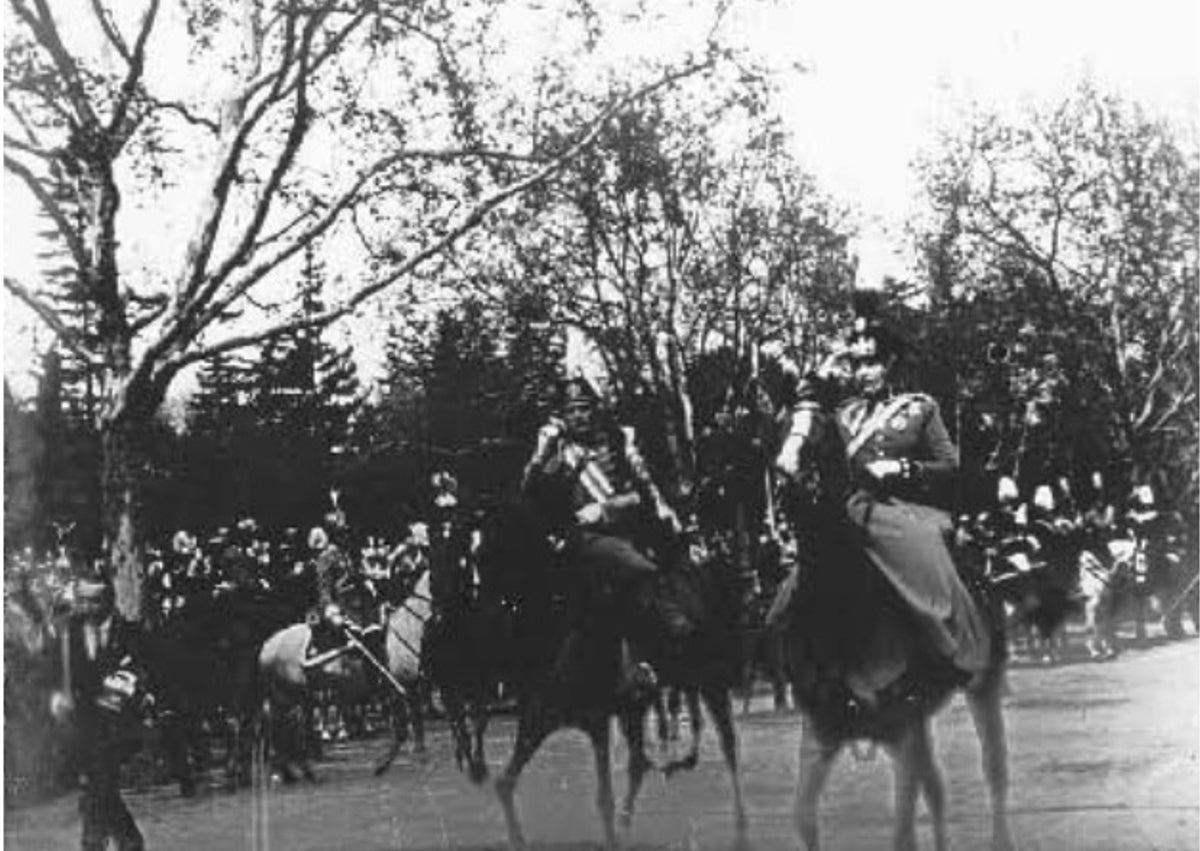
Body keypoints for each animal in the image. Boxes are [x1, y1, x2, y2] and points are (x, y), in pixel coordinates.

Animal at [772, 400, 1017, 844]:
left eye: (818, 433)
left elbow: (903, 828)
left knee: (994, 775)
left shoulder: (900, 726)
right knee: (936, 789)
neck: (841, 615)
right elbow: (804, 818)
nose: (786, 475)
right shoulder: (823, 727)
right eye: (784, 426)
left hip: (983, 686)